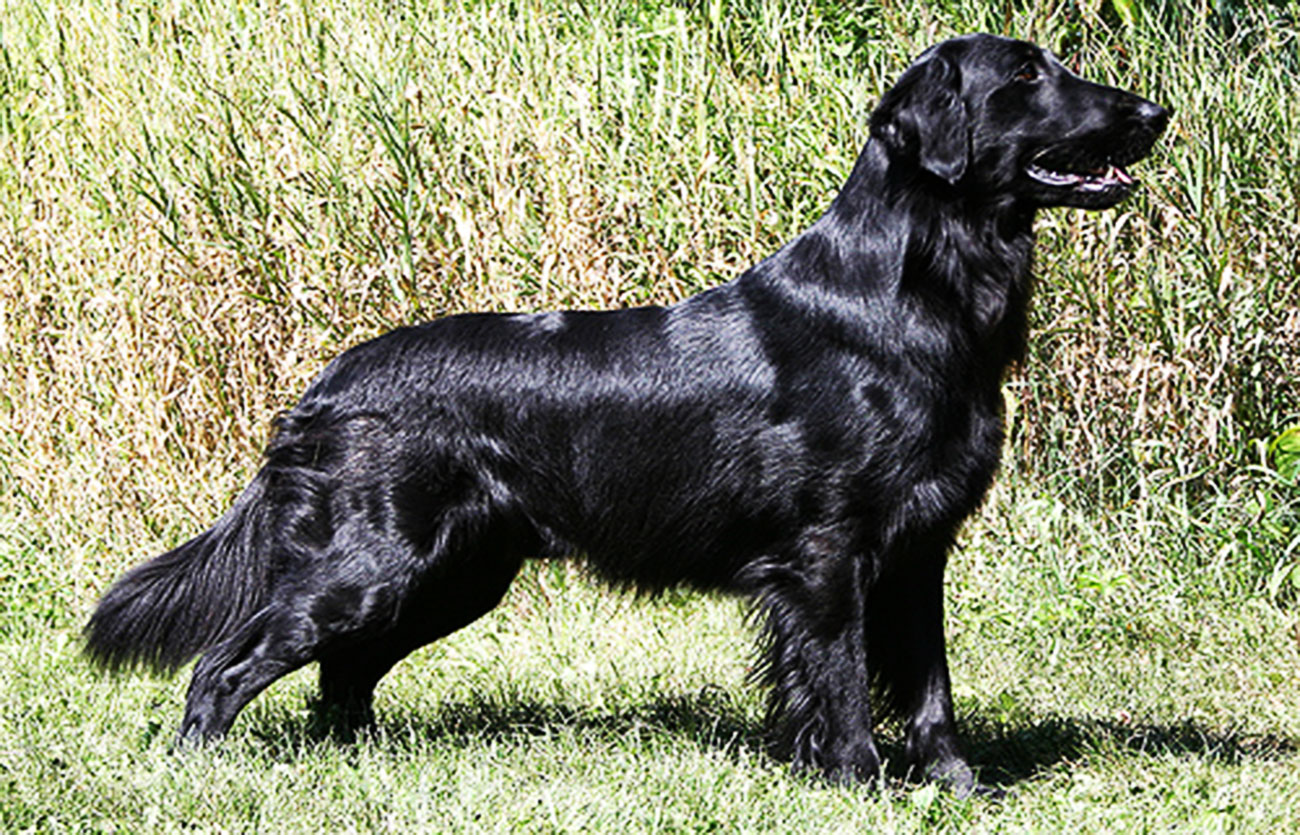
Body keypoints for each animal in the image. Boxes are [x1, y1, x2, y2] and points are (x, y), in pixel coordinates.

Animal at [89, 34, 1170, 790]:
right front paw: (859, 781)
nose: (1154, 111)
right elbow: (841, 682)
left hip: (451, 573)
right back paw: (200, 771)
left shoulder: (917, 548)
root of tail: (323, 385)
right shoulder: (828, 551)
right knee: (221, 668)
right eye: (1025, 74)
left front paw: (955, 785)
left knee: (342, 675)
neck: (910, 293)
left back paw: (360, 763)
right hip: (368, 568)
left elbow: (932, 687)